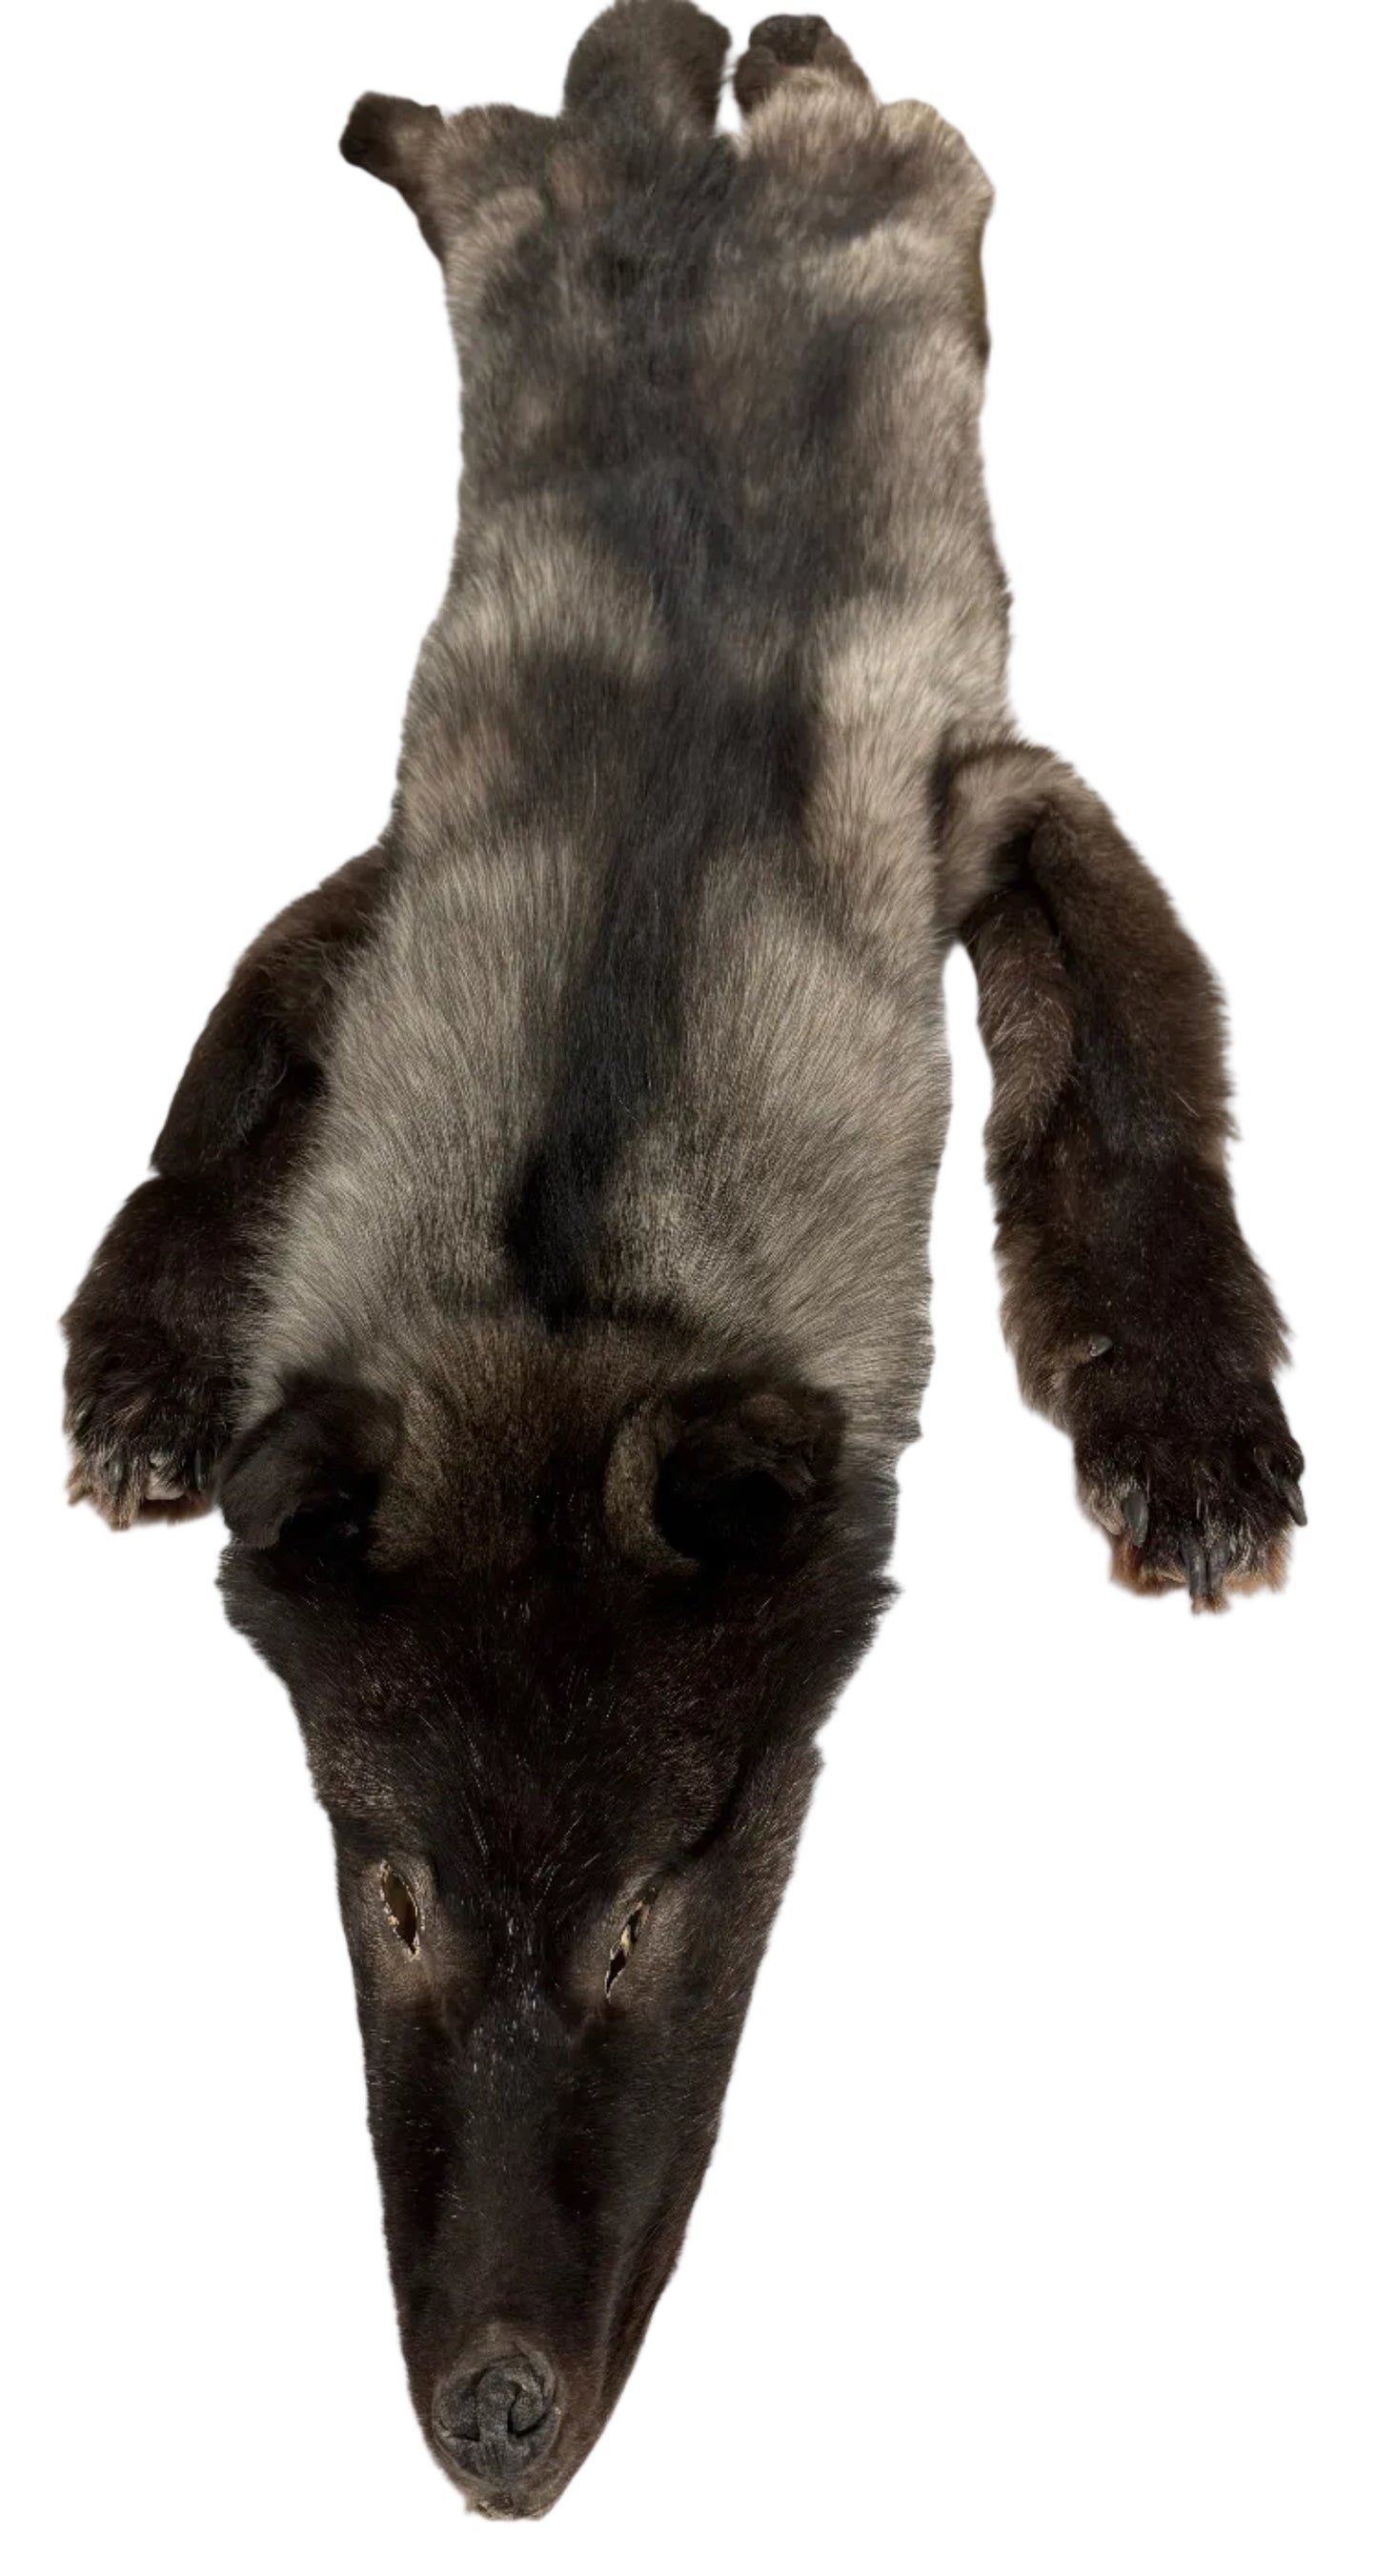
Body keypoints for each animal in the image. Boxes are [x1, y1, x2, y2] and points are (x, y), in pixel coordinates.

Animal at [62, 3, 1304, 2518]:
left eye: (649, 1898)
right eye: (395, 1889)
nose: (489, 2427)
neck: (570, 1234)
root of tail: (695, 172)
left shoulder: (984, 789)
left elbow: (1125, 1084)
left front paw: (1186, 1416)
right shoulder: (400, 859)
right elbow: (230, 1062)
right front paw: (145, 1348)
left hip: (894, 176)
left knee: (736, 81)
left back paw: (739, 57)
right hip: (530, 213)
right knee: (538, 110)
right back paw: (496, 104)